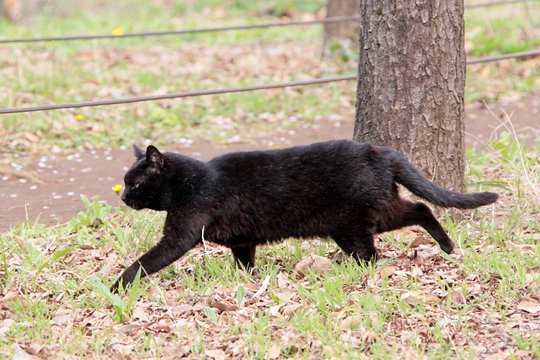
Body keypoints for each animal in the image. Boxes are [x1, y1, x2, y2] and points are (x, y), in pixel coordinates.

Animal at [110, 139, 498, 292]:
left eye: (135, 183)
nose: (124, 197)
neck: (191, 182)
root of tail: (380, 150)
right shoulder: (243, 240)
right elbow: (244, 262)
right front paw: (247, 281)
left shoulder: (180, 235)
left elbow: (145, 261)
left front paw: (116, 286)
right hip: (376, 213)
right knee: (420, 208)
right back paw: (448, 247)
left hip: (352, 224)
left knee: (375, 251)